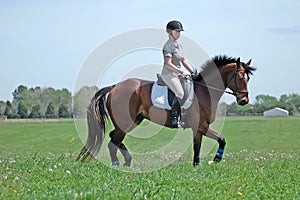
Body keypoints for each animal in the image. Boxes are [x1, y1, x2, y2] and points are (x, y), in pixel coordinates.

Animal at [77, 55, 255, 167]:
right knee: (113, 141)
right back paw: (117, 164)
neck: (204, 91)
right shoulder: (201, 126)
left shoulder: (200, 128)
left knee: (114, 137)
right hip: (126, 122)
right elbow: (211, 143)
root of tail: (114, 87)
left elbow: (208, 144)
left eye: (248, 78)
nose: (244, 100)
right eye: (240, 78)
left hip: (134, 120)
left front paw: (205, 163)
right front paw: (210, 161)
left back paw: (127, 161)